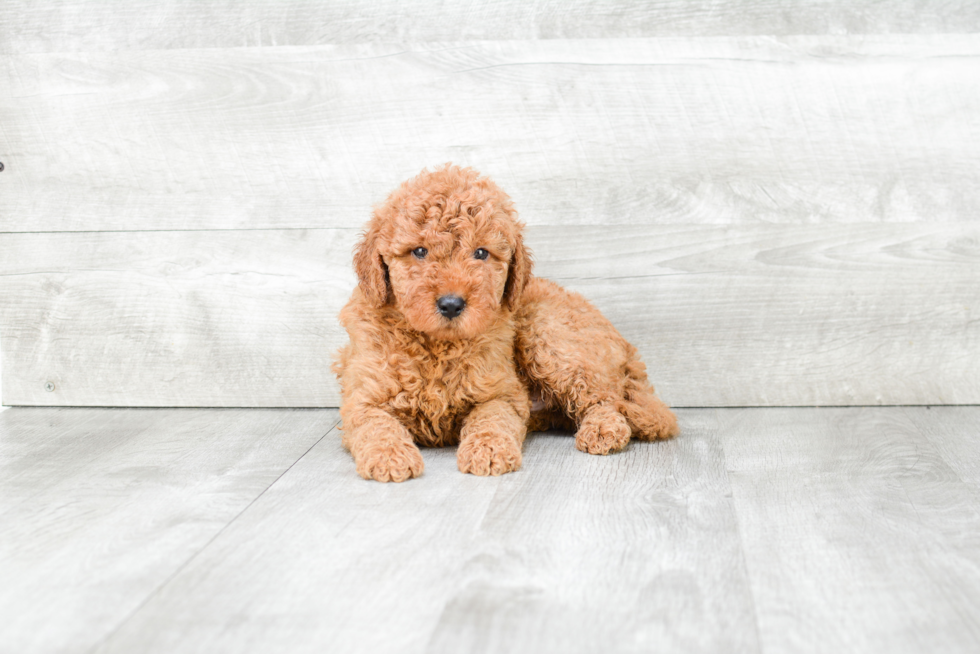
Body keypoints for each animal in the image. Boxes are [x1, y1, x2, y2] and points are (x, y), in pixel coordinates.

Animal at [334, 164, 676, 482]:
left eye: (481, 253)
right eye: (419, 251)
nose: (451, 304)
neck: (437, 345)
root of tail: (626, 347)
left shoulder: (500, 393)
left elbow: (492, 419)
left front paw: (488, 450)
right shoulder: (362, 398)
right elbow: (376, 425)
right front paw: (389, 456)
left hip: (549, 336)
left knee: (606, 399)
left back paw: (604, 430)